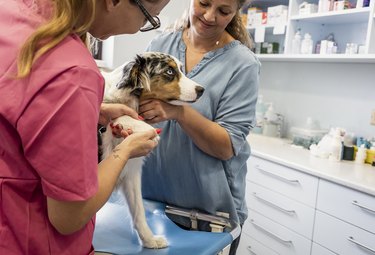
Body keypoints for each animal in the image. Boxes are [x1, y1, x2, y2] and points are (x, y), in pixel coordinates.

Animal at [100, 52, 204, 249]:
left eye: (180, 69)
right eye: (169, 71)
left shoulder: (131, 171)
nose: (202, 89)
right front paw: (144, 128)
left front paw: (149, 240)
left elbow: (138, 210)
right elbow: (122, 114)